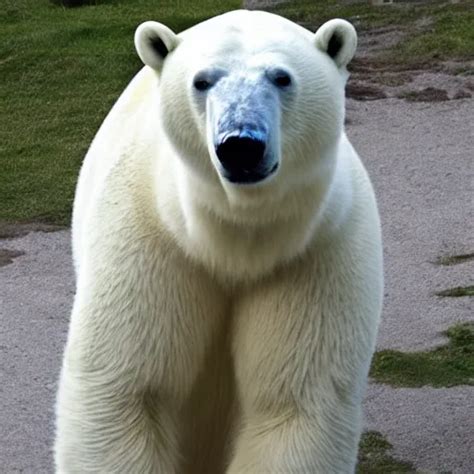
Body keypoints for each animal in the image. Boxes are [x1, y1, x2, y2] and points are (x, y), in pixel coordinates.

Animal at [54, 8, 382, 474]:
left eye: (281, 77)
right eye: (202, 80)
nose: (240, 145)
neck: (230, 239)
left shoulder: (315, 253)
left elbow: (293, 402)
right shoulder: (151, 239)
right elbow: (129, 388)